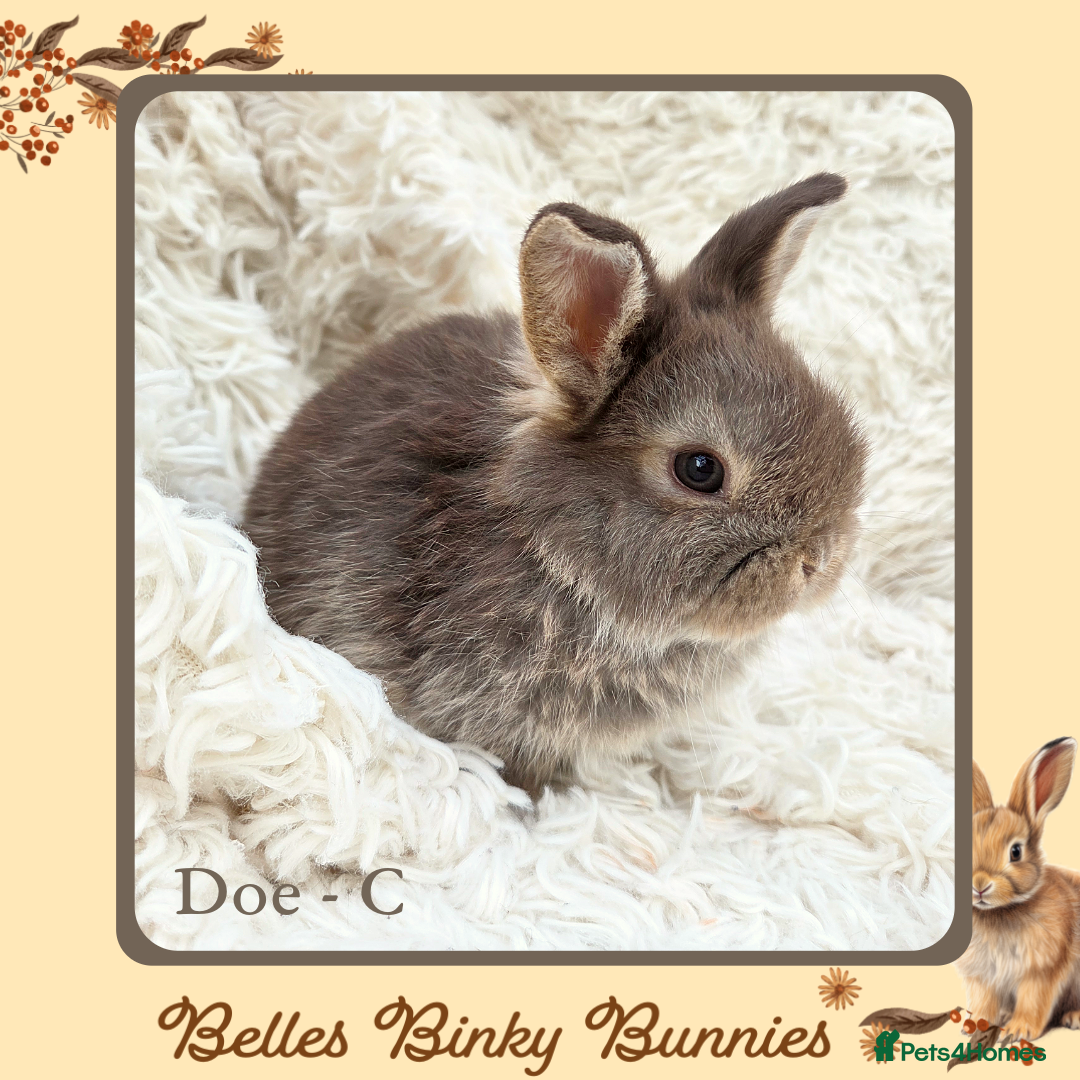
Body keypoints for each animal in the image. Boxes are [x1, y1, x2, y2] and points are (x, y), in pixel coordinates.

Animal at [957, 737, 1080, 1041]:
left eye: (1015, 851)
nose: (979, 885)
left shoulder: (1041, 971)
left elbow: (1033, 1001)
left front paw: (1016, 1032)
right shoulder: (983, 976)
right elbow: (984, 1001)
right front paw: (974, 1025)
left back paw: (1073, 1017)